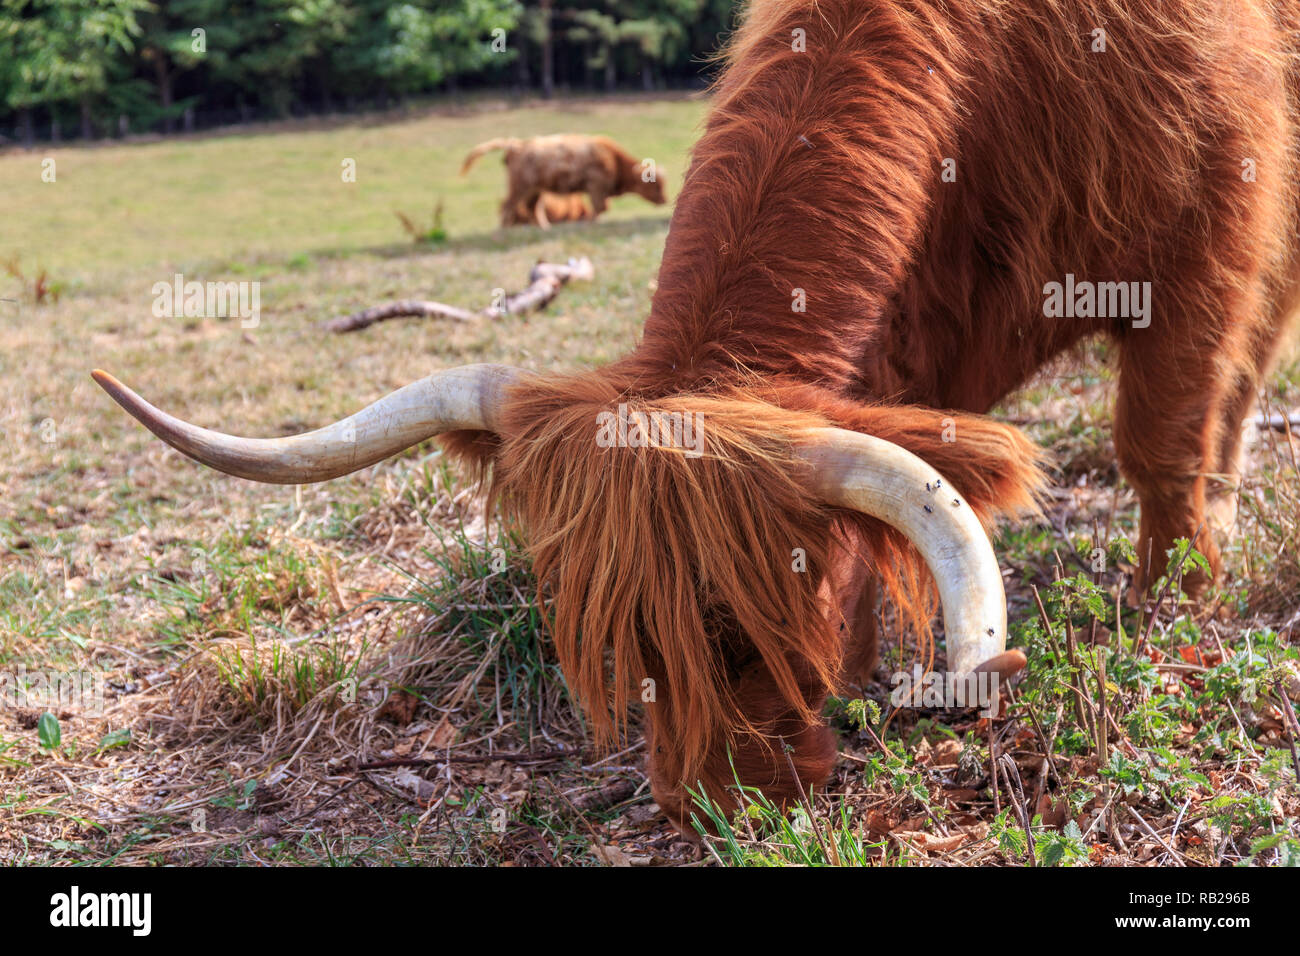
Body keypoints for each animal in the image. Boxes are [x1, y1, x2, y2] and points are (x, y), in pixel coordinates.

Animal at [461, 133, 667, 228]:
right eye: (654, 184)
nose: (664, 200)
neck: (613, 158)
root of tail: (516, 144)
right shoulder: (596, 186)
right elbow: (600, 207)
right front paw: (590, 222)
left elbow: (602, 207)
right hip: (520, 187)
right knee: (508, 206)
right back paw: (503, 231)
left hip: (535, 190)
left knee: (532, 208)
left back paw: (545, 228)